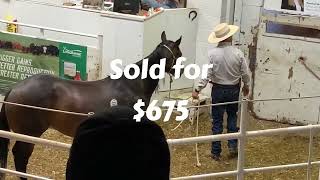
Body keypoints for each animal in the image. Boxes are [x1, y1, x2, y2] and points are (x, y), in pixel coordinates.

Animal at [0, 31, 182, 179]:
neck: (132, 85)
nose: (179, 71)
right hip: (29, 134)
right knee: (21, 156)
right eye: (179, 54)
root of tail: (14, 88)